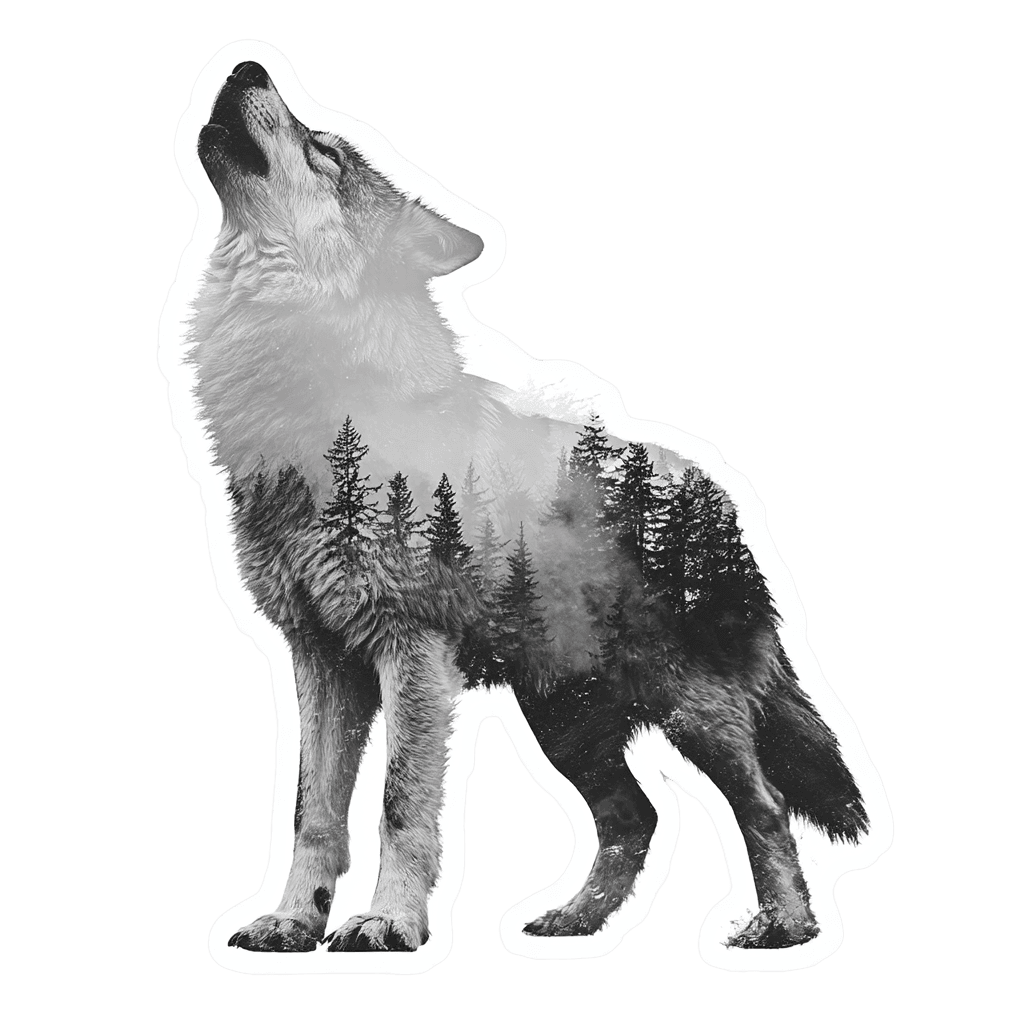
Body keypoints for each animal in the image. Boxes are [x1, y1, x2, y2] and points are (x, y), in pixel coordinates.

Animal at [173, 56, 876, 962]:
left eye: (323, 150)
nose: (247, 62)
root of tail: (721, 499)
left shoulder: (412, 650)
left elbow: (400, 804)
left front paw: (389, 923)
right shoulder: (318, 660)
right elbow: (310, 814)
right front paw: (294, 922)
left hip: (693, 710)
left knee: (762, 806)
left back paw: (782, 927)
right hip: (562, 718)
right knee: (638, 817)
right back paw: (575, 921)